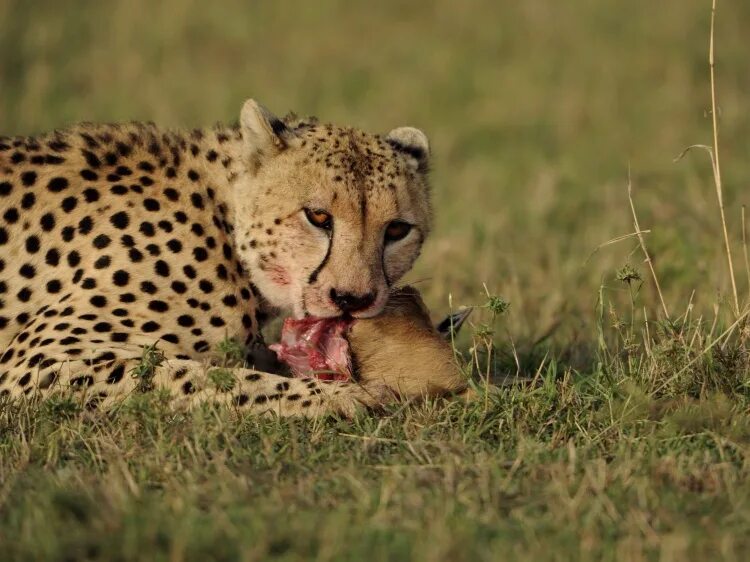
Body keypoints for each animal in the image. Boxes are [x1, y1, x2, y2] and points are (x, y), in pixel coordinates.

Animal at [0, 99, 468, 416]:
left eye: (397, 230)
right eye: (318, 216)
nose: (353, 299)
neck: (222, 215)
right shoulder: (33, 365)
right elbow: (198, 376)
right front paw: (350, 396)